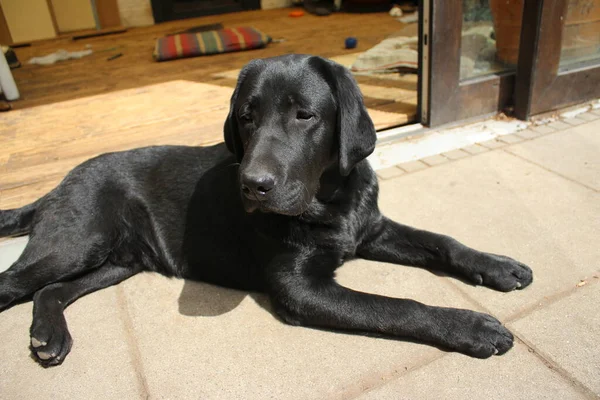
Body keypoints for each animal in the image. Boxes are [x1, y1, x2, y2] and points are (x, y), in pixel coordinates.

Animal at [0, 54, 532, 368]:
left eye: (304, 115)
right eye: (245, 117)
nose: (252, 186)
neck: (330, 200)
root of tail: (56, 186)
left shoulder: (372, 229)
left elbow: (443, 241)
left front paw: (497, 265)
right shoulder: (300, 288)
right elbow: (395, 306)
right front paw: (470, 326)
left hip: (117, 260)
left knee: (50, 290)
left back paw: (48, 334)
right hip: (77, 242)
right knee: (17, 283)